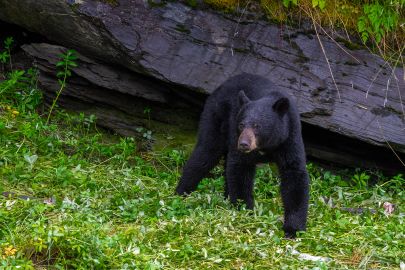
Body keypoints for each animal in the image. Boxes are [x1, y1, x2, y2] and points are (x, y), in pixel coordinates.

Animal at [175, 73, 308, 236]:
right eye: (241, 125)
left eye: (257, 126)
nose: (244, 144)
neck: (267, 145)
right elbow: (240, 169)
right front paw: (245, 213)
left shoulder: (289, 137)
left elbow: (294, 174)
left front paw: (293, 229)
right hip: (217, 114)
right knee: (206, 152)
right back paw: (181, 192)